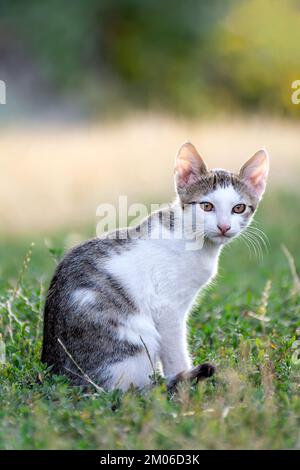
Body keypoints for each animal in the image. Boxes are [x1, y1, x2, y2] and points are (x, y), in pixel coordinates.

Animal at [41, 141, 268, 392]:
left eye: (239, 208)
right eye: (207, 206)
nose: (224, 227)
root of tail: (58, 374)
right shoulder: (167, 308)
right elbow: (174, 352)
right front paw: (185, 384)